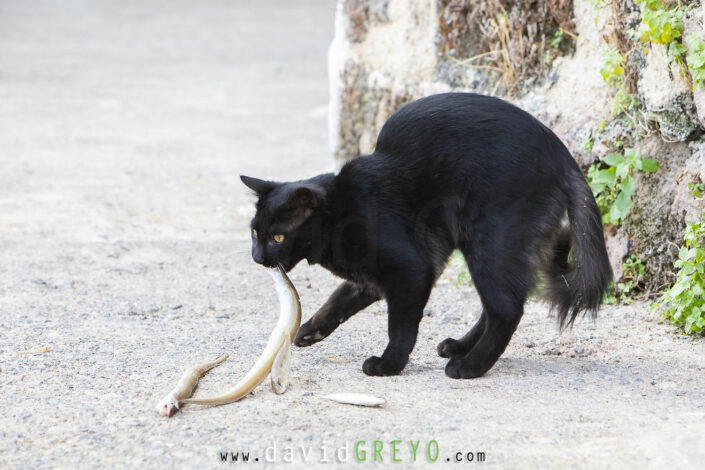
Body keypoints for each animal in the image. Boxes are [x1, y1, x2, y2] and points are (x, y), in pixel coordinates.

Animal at [238, 92, 612, 378]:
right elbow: (338, 300)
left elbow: (401, 327)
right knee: (502, 302)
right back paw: (459, 347)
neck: (343, 208)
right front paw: (309, 331)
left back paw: (470, 366)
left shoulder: (410, 270)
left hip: (486, 243)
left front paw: (388, 364)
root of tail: (562, 156)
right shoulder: (370, 277)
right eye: (255, 232)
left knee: (506, 308)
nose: (257, 257)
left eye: (278, 238)